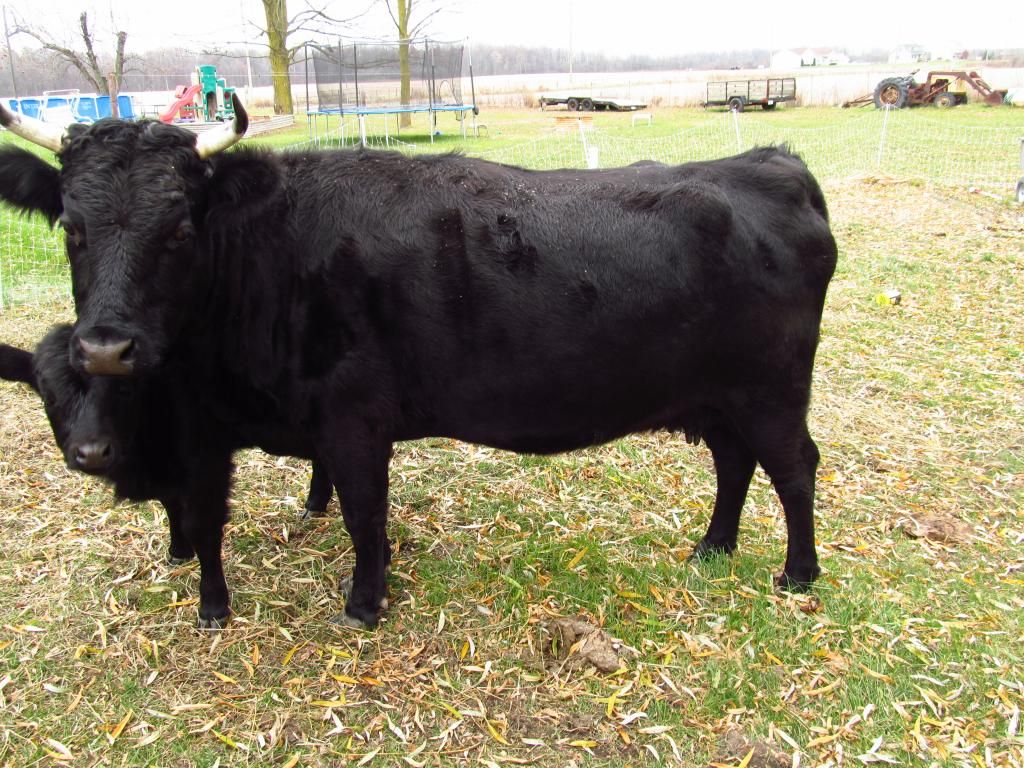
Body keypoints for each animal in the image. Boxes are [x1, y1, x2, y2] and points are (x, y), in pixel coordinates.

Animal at [1, 328, 334, 572]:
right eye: (49, 398)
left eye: (124, 390)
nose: (92, 452)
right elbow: (171, 506)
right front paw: (178, 551)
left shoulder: (206, 461)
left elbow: (201, 525)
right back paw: (314, 505)